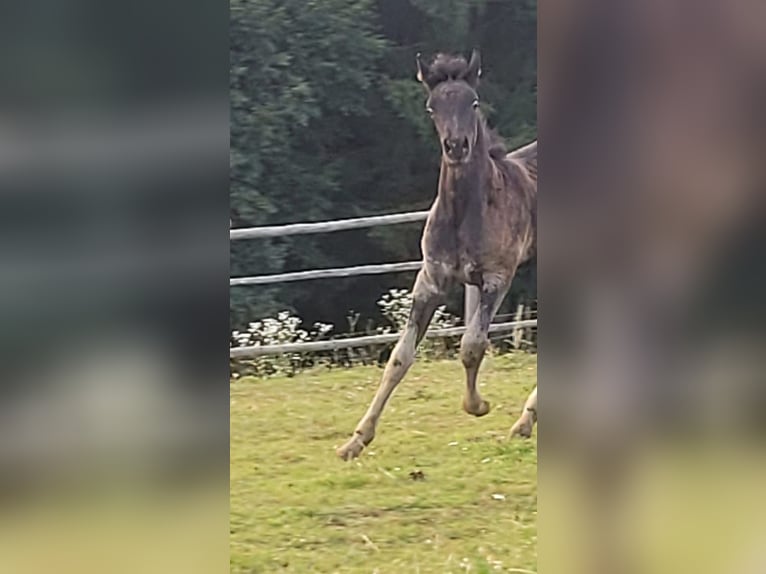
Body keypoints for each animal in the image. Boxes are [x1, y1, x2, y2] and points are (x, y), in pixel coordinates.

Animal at [336, 50, 540, 464]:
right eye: (432, 108)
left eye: (473, 102)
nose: (456, 147)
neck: (466, 211)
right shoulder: (430, 280)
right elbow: (400, 357)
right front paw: (356, 440)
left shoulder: (497, 277)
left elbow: (472, 346)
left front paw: (478, 405)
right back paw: (527, 421)